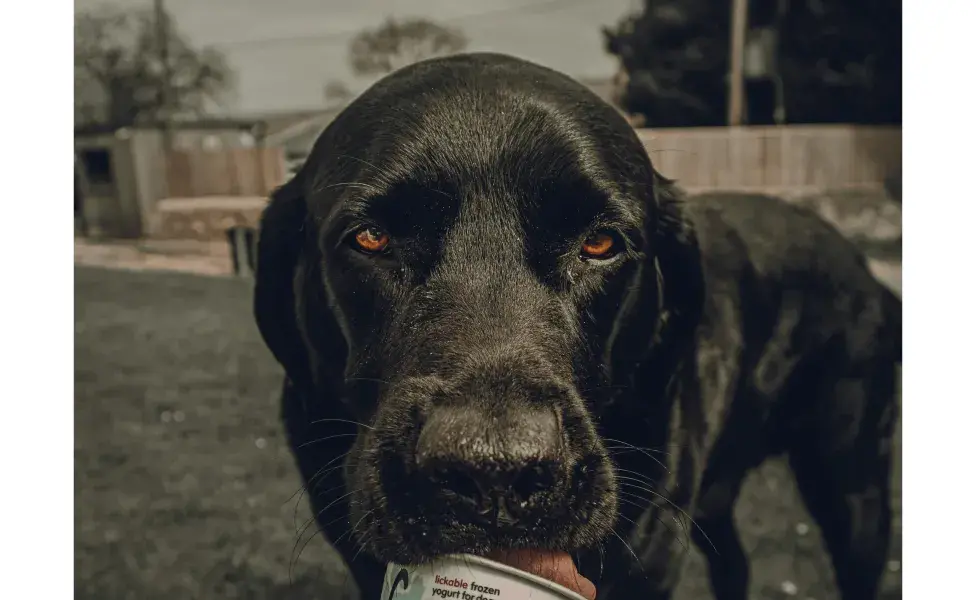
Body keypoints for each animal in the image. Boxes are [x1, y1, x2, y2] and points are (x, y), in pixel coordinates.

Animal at [254, 52, 900, 600]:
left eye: (600, 242)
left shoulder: (651, 556)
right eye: (370, 238)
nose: (493, 471)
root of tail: (863, 264)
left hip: (852, 487)